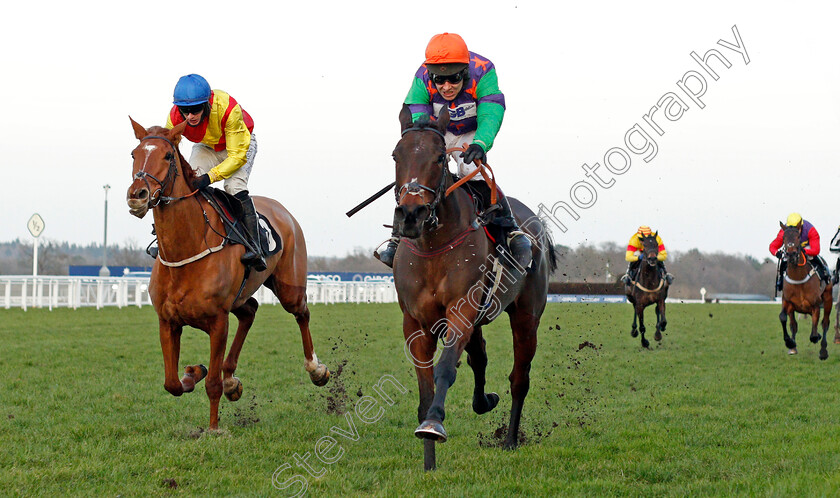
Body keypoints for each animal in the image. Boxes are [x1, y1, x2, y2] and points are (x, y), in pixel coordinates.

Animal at [126, 118, 330, 430]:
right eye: (134, 154)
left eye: (168, 156)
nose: (138, 195)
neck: (186, 248)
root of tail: (282, 210)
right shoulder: (167, 321)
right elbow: (172, 383)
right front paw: (193, 372)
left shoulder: (218, 322)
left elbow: (212, 384)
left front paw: (213, 428)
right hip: (240, 296)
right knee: (250, 311)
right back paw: (232, 379)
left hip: (289, 287)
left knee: (301, 313)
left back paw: (316, 369)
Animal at [392, 105, 556, 470]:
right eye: (396, 155)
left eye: (440, 157)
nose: (410, 214)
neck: (434, 246)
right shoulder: (415, 323)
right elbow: (426, 387)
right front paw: (429, 461)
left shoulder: (461, 310)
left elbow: (444, 368)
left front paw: (434, 423)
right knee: (479, 357)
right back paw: (484, 401)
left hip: (526, 316)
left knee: (519, 378)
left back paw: (510, 440)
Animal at [780, 222, 832, 358]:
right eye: (783, 238)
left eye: (798, 237)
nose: (791, 254)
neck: (798, 277)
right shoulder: (787, 302)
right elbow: (784, 318)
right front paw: (790, 343)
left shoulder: (815, 305)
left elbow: (814, 333)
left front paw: (817, 337)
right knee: (794, 324)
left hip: (828, 298)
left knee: (825, 322)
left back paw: (823, 351)